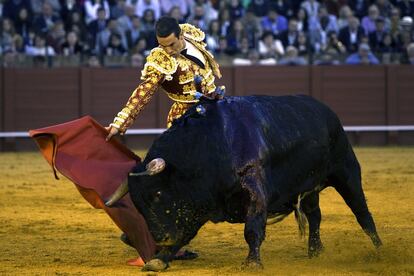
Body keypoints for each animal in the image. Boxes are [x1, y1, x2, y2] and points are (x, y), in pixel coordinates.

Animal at [106, 95, 382, 270]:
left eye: (158, 195)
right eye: (137, 203)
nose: (159, 238)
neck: (209, 144)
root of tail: (325, 110)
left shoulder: (254, 189)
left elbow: (252, 229)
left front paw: (252, 263)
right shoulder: (197, 202)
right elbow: (184, 233)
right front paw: (159, 259)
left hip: (346, 171)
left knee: (362, 213)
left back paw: (379, 250)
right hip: (308, 186)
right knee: (315, 215)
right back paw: (315, 251)